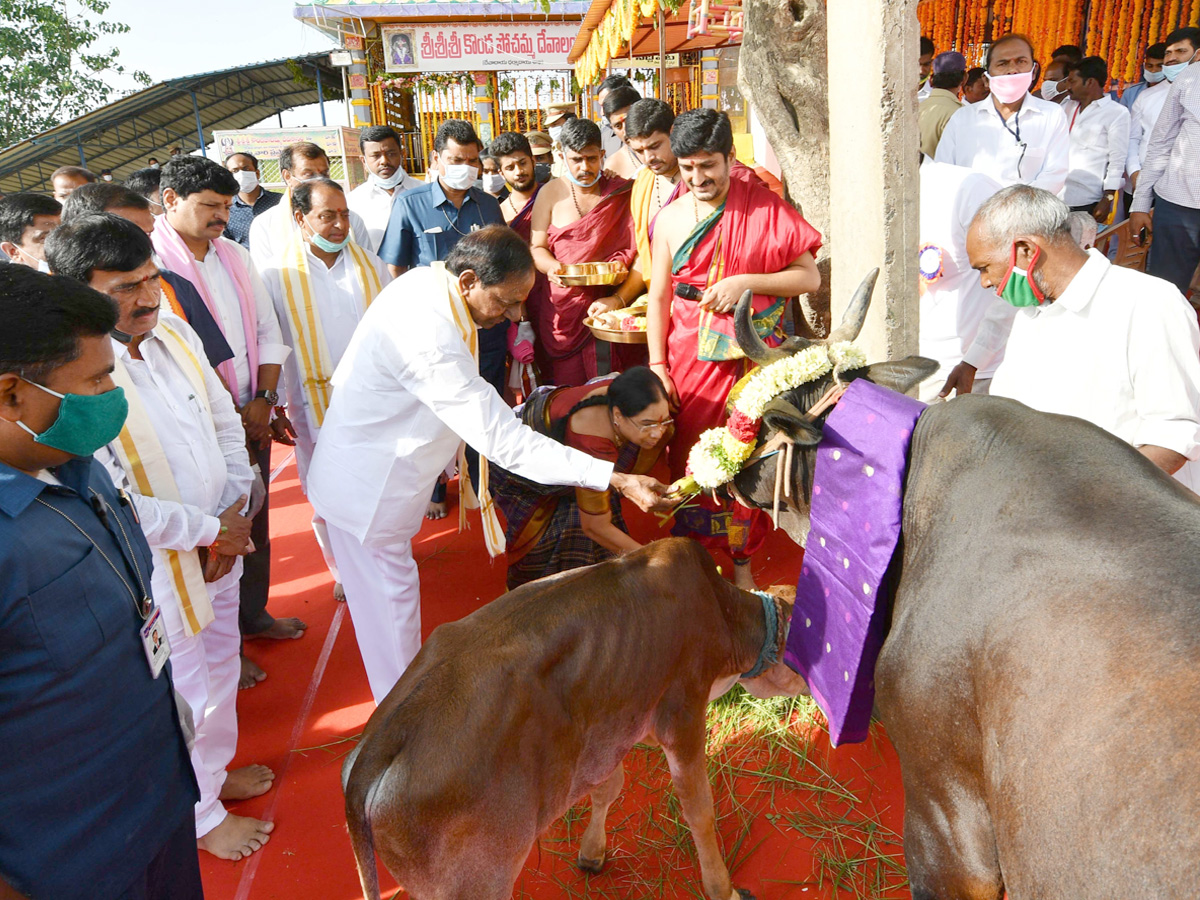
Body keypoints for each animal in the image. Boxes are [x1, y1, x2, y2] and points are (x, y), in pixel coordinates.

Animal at [340, 540, 806, 897]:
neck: (724, 616)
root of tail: (379, 742)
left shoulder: (609, 728)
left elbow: (608, 787)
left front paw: (591, 852)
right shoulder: (682, 712)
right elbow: (698, 809)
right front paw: (723, 888)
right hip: (476, 883)